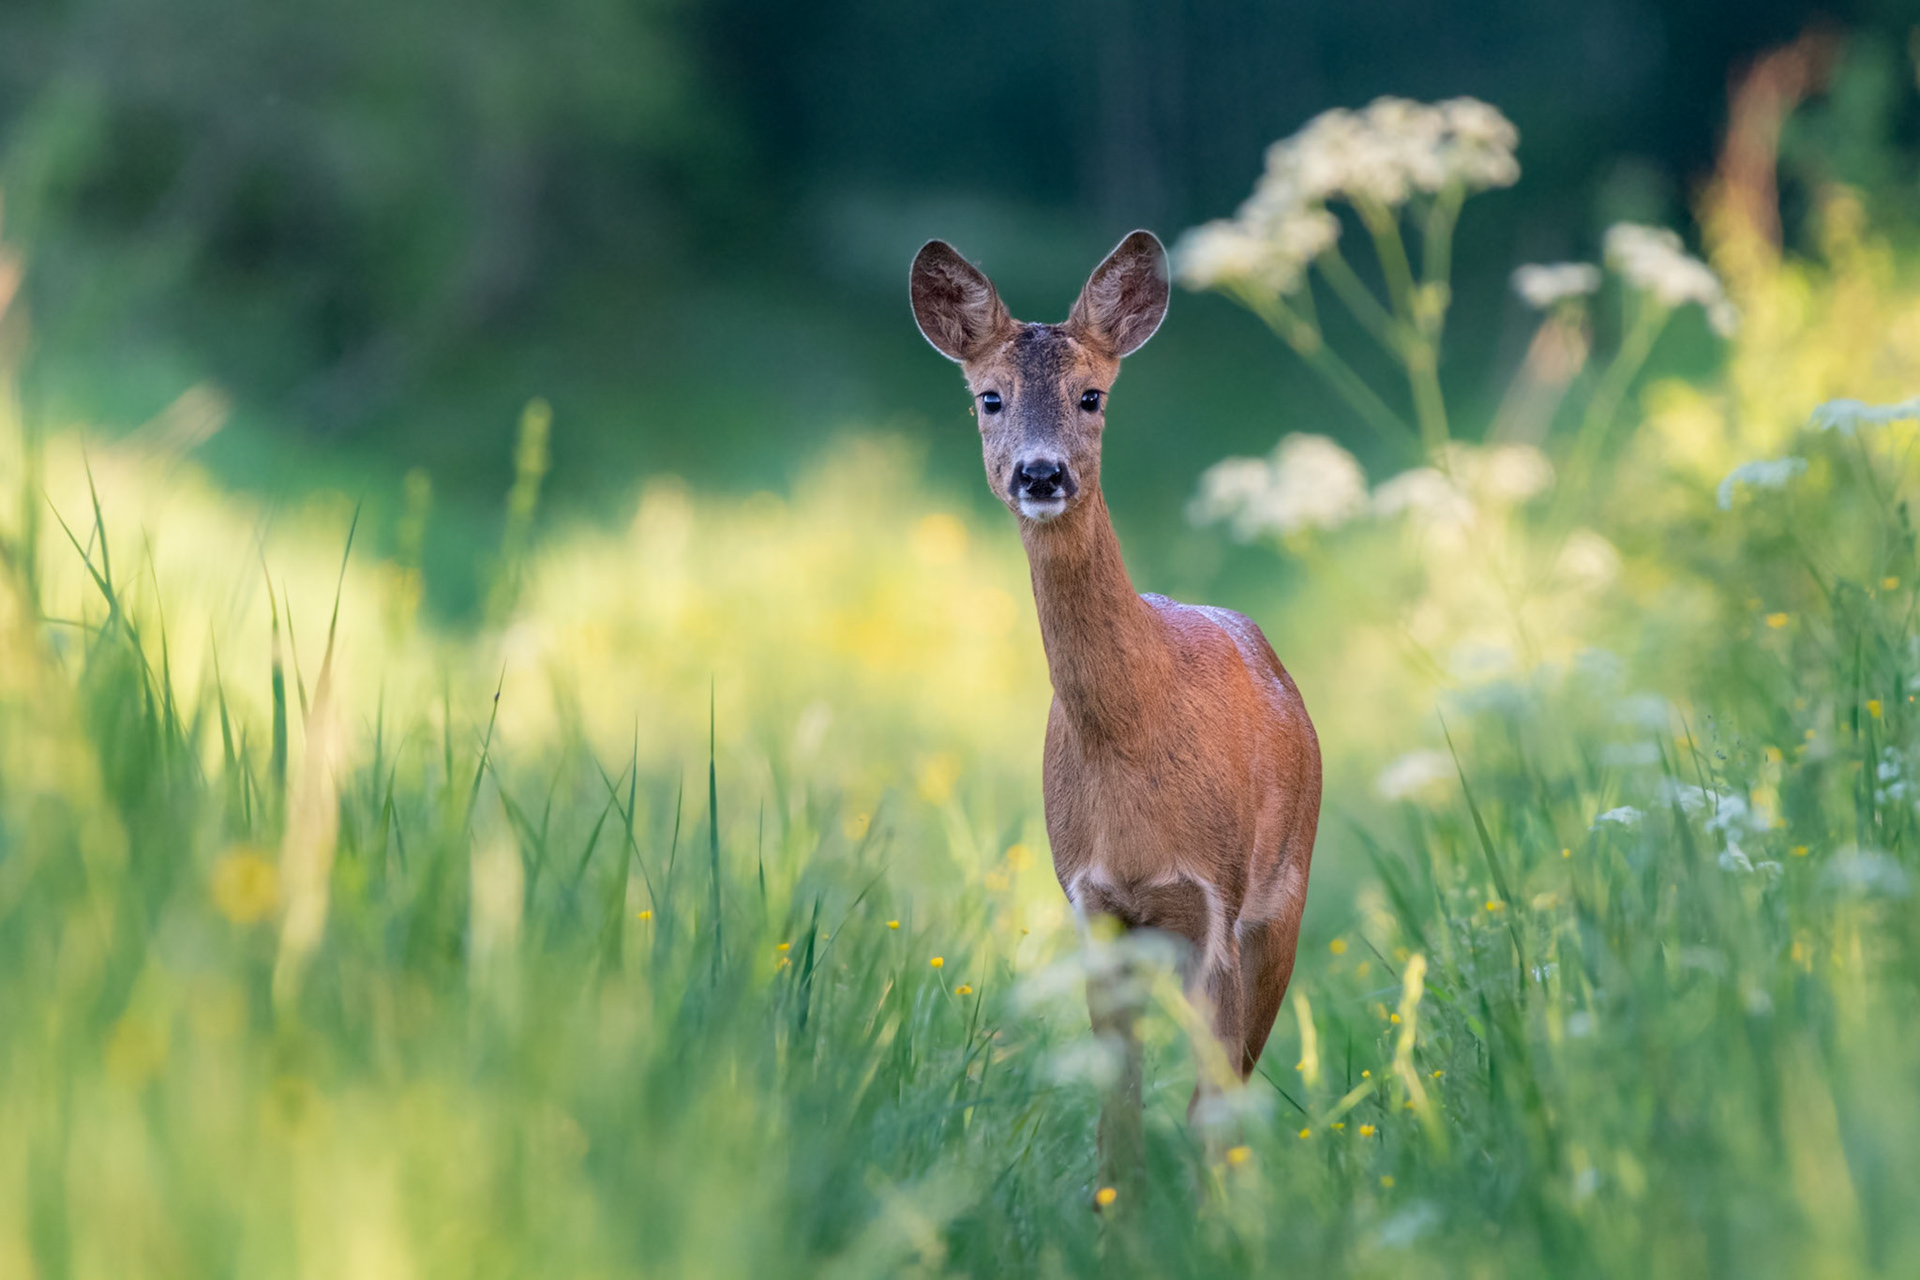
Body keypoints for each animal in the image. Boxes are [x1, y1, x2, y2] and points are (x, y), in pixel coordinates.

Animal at [909, 230, 1322, 1187]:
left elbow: (1210, 1103)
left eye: (1091, 395)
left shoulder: (1215, 900)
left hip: (1283, 895)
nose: (1041, 472)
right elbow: (1117, 1120)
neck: (1134, 738)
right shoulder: (1091, 902)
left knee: (1236, 1083)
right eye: (989, 397)